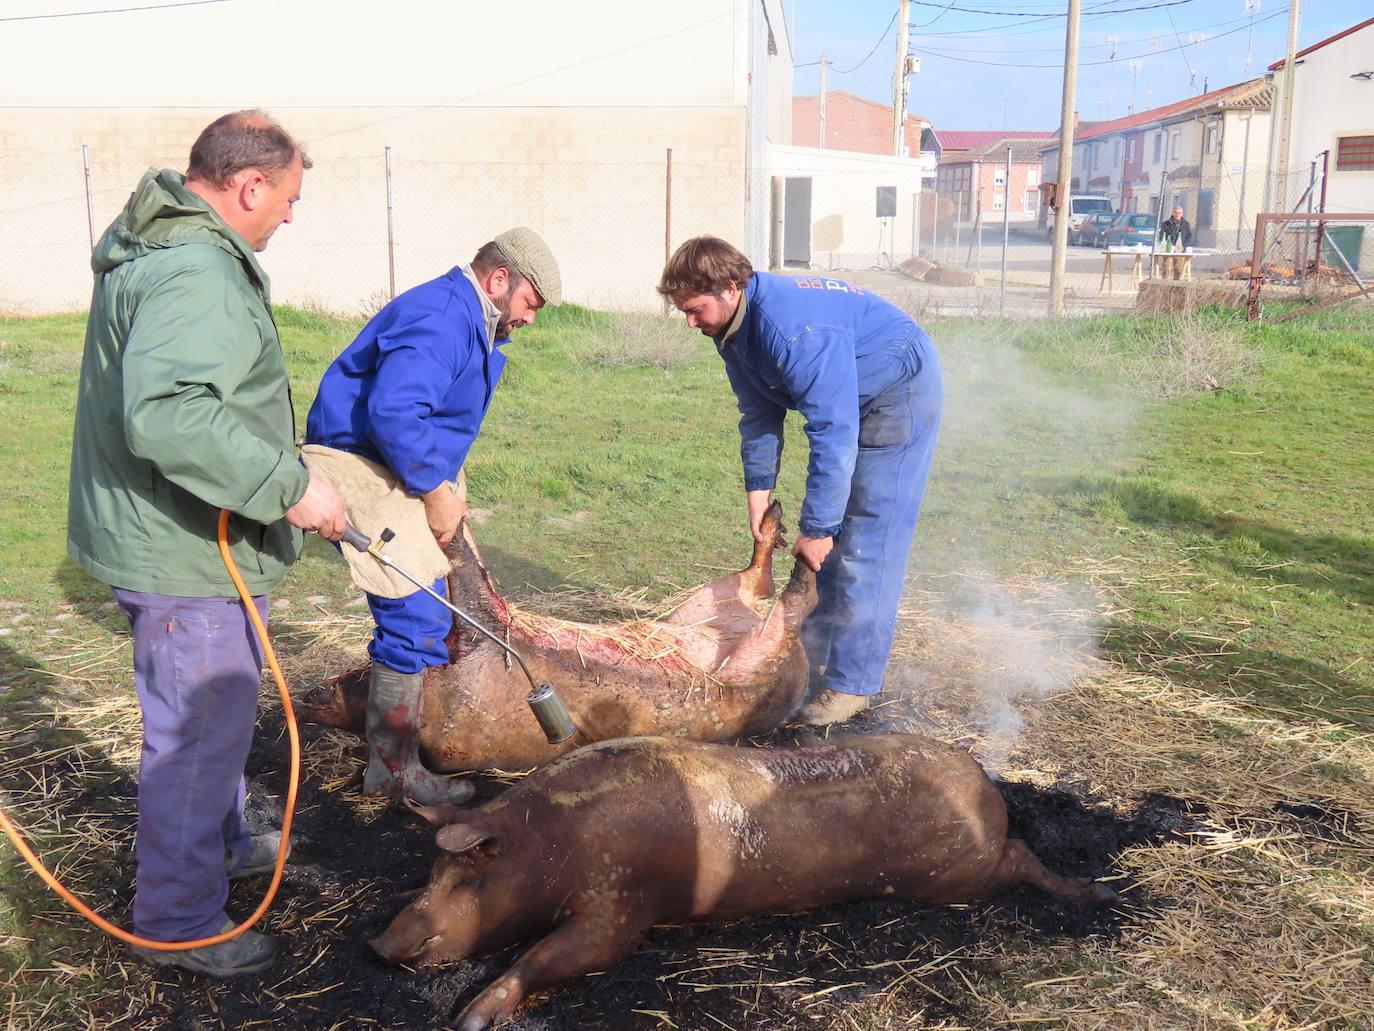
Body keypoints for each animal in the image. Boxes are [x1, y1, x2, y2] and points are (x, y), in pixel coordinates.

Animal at [300, 500, 813, 775]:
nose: (311, 694)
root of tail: (803, 662)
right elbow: (466, 574)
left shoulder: (481, 638)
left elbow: (465, 571)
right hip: (728, 625)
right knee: (779, 594)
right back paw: (792, 539)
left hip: (713, 616)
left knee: (771, 587)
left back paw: (784, 528)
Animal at [373, 736, 1115, 1031]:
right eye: (431, 872)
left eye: (469, 877)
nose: (378, 945)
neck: (551, 842)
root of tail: (985, 785)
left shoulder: (622, 904)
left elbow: (552, 956)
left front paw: (468, 1018)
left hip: (963, 872)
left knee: (1023, 855)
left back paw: (1094, 893)